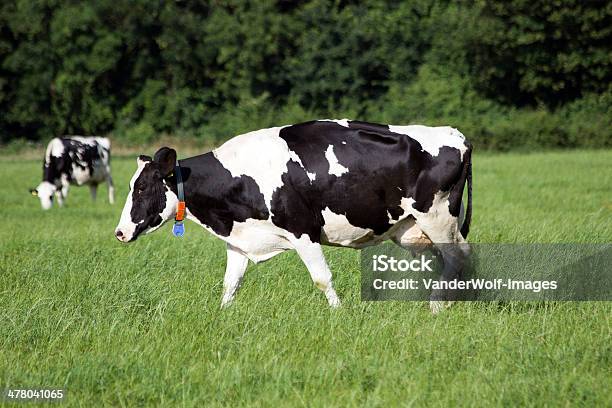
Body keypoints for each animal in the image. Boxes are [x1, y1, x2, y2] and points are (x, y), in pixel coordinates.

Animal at [115, 119, 474, 314]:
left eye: (143, 187)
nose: (119, 232)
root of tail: (455, 134)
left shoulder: (303, 230)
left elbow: (322, 278)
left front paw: (339, 314)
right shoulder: (240, 238)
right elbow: (231, 282)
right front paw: (222, 315)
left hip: (438, 218)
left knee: (458, 257)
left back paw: (437, 307)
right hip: (414, 228)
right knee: (450, 261)